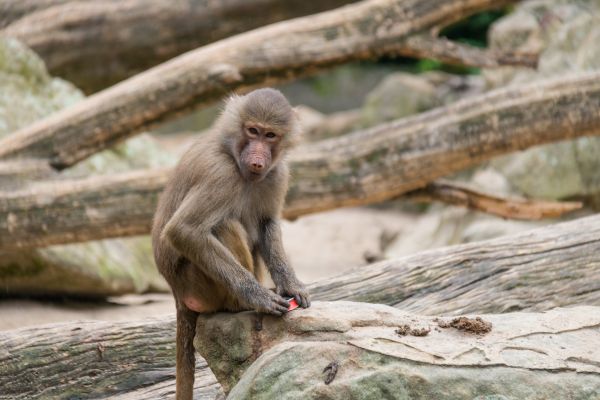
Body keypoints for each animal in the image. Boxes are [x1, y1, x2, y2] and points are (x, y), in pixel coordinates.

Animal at [151, 88, 310, 400]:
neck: (233, 154)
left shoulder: (277, 173)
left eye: (270, 135)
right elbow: (184, 230)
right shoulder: (220, 173)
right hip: (198, 285)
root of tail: (176, 293)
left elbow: (267, 223)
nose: (258, 160)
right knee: (222, 224)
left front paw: (291, 285)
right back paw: (240, 304)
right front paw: (258, 297)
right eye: (252, 131)